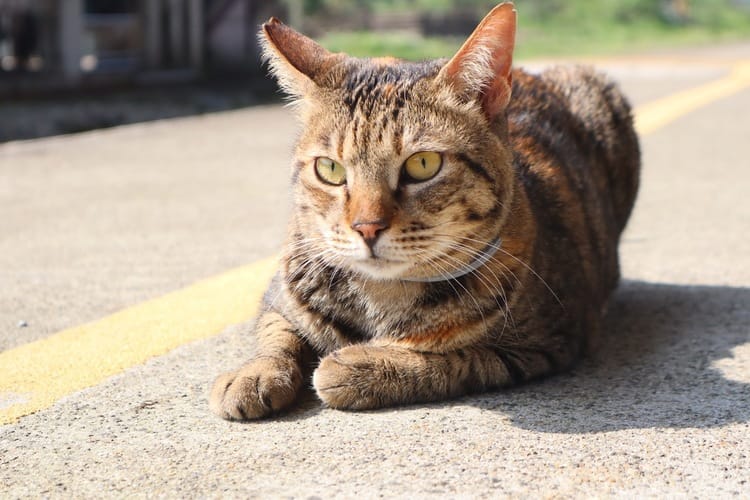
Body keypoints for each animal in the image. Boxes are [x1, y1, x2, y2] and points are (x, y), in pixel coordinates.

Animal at [210, 2, 640, 422]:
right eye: (329, 169)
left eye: (423, 165)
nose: (366, 227)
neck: (381, 295)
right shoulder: (280, 293)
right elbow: (276, 333)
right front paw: (252, 373)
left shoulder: (547, 342)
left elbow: (454, 358)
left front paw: (360, 367)